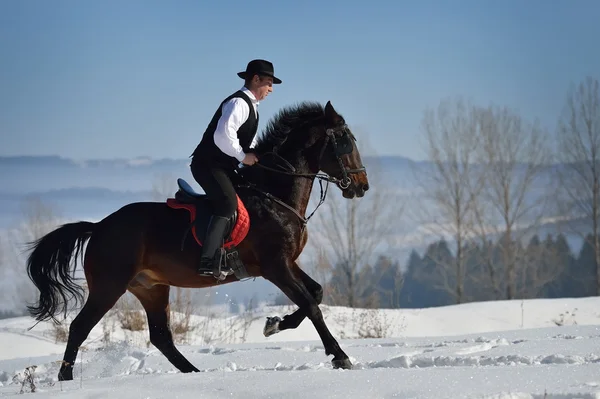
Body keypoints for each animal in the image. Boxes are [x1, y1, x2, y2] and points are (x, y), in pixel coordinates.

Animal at [24, 100, 370, 382]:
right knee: (80, 327)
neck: (274, 197)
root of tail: (98, 227)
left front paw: (274, 324)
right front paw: (340, 357)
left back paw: (194, 374)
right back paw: (66, 379)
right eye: (344, 140)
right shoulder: (275, 266)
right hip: (110, 285)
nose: (361, 186)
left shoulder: (287, 263)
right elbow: (310, 304)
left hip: (151, 288)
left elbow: (316, 293)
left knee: (161, 336)